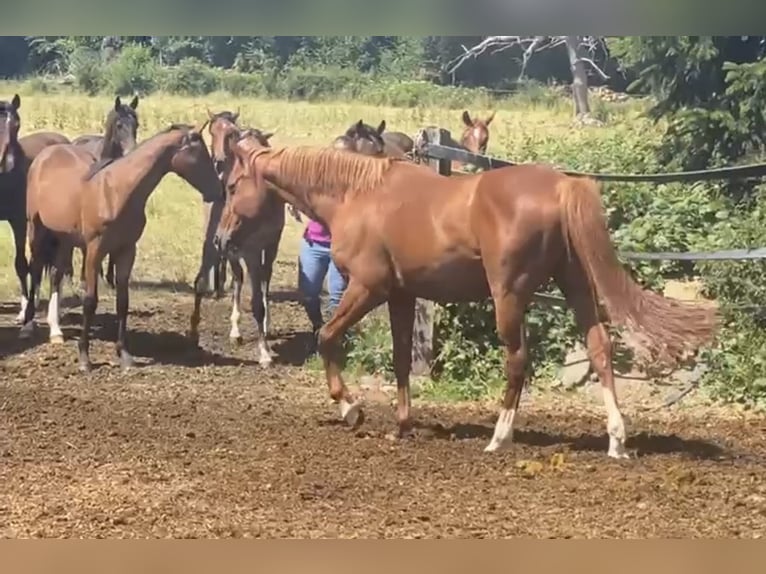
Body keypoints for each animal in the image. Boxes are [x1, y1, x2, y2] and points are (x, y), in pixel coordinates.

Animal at [21, 122, 221, 373]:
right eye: (199, 154)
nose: (218, 191)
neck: (116, 192)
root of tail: (45, 155)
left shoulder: (127, 250)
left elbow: (123, 302)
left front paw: (125, 355)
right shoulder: (95, 250)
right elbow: (90, 301)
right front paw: (84, 359)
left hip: (64, 238)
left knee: (56, 275)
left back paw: (56, 331)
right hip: (35, 230)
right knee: (36, 270)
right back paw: (28, 326)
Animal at [189, 120, 284, 368]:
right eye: (231, 187)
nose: (219, 164)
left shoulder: (264, 246)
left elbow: (261, 293)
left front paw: (265, 343)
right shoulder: (235, 247)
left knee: (255, 279)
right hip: (224, 247)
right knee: (226, 280)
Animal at [219, 138, 719, 459]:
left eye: (231, 186)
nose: (223, 238)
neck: (356, 195)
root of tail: (561, 185)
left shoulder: (369, 288)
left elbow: (326, 336)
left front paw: (351, 408)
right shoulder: (402, 295)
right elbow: (402, 359)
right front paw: (401, 426)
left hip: (509, 295)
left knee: (518, 359)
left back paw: (499, 437)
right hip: (576, 285)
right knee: (599, 347)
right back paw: (616, 441)